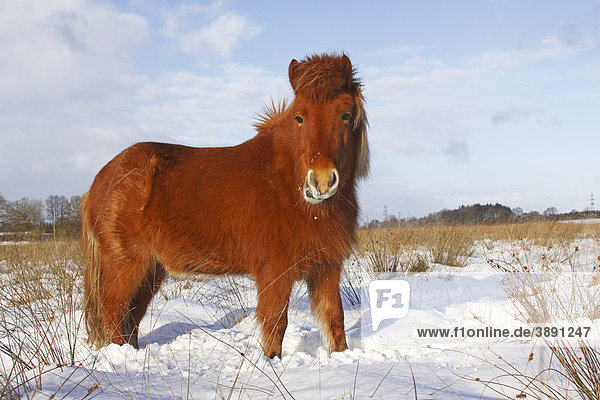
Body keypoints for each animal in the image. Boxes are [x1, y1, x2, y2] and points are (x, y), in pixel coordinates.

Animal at [81, 54, 370, 360]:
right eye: (299, 117)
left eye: (345, 115)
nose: (321, 182)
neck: (287, 180)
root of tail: (100, 180)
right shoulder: (275, 270)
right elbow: (276, 323)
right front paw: (272, 363)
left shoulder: (327, 266)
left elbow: (335, 319)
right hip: (124, 266)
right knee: (114, 314)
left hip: (151, 270)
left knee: (131, 318)